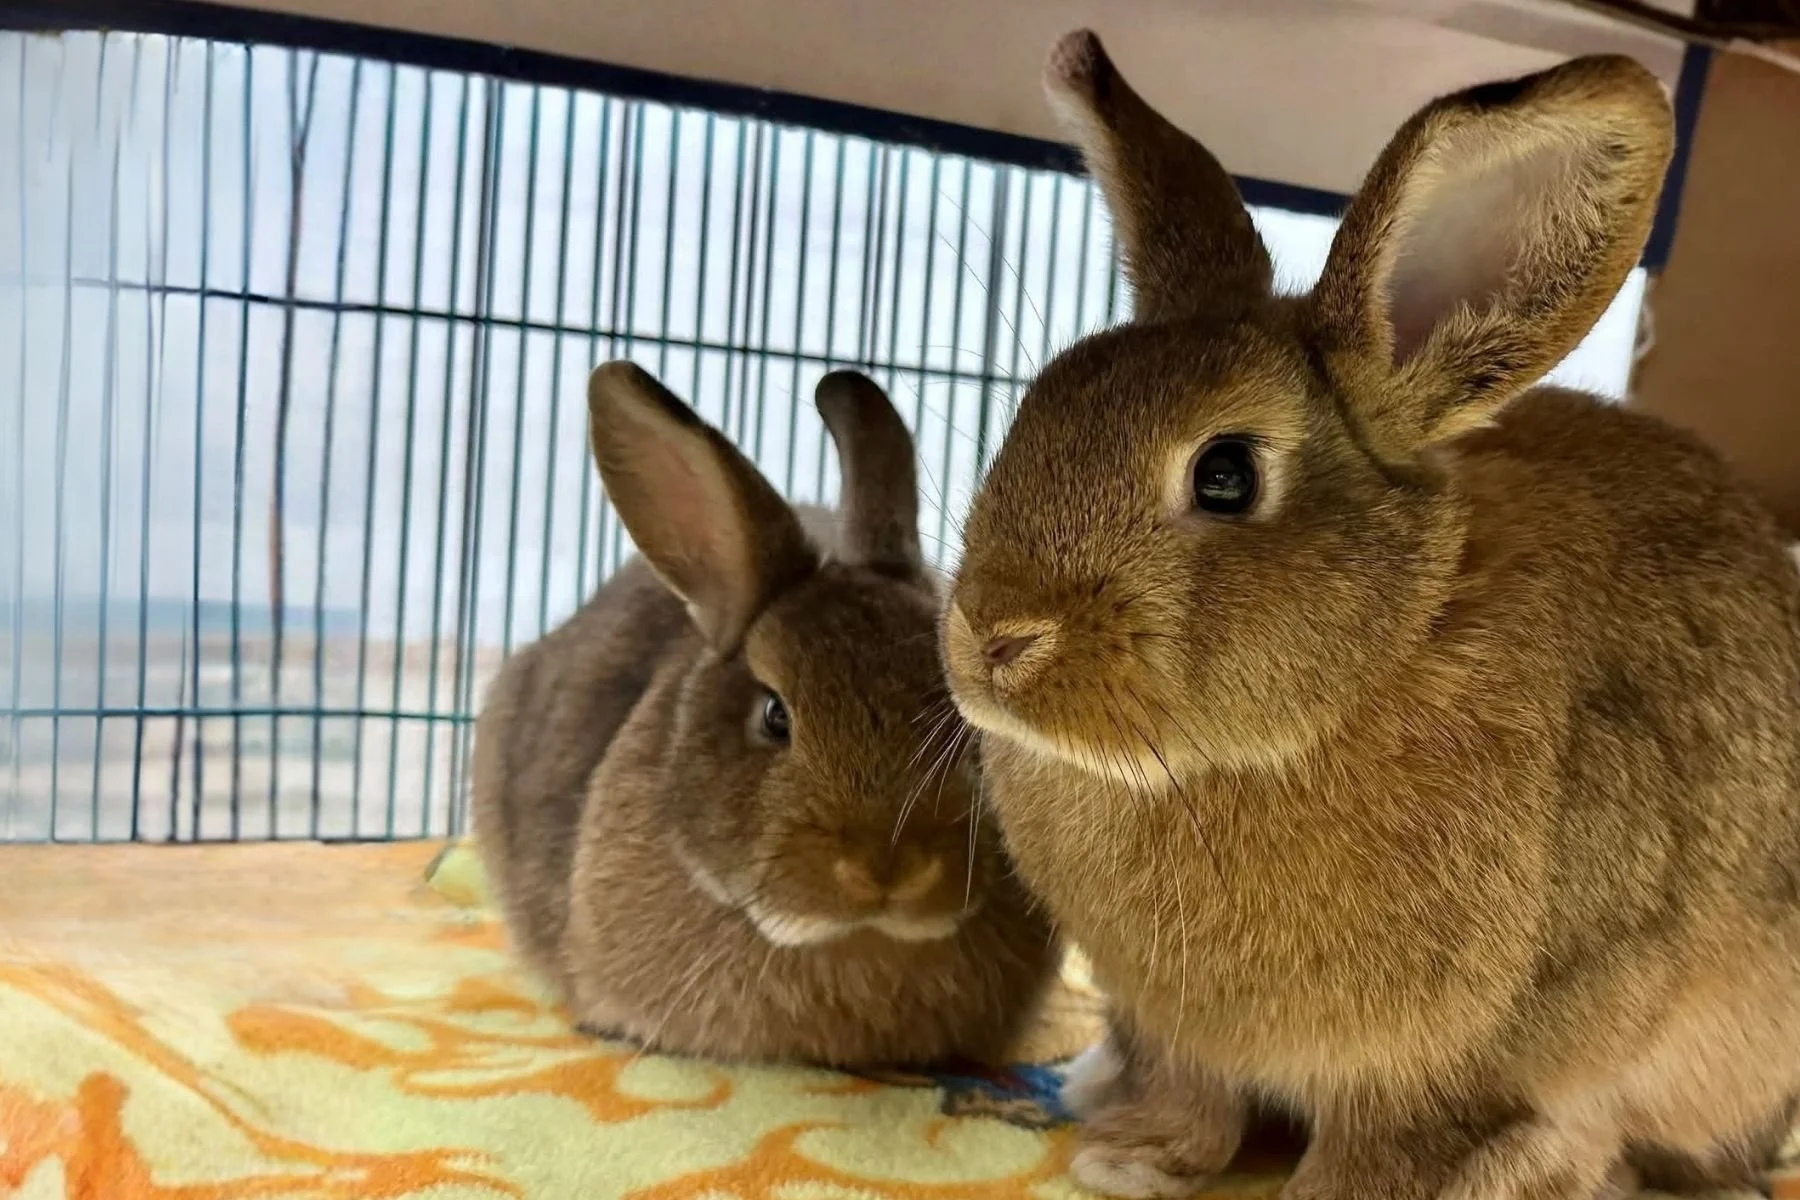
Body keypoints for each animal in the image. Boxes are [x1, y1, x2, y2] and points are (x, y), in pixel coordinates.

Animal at [939, 29, 1800, 1200]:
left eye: (1225, 476)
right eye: (1033, 406)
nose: (992, 636)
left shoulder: (1465, 1055)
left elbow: (1390, 1142)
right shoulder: (1180, 1031)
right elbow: (1194, 1094)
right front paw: (1135, 1158)